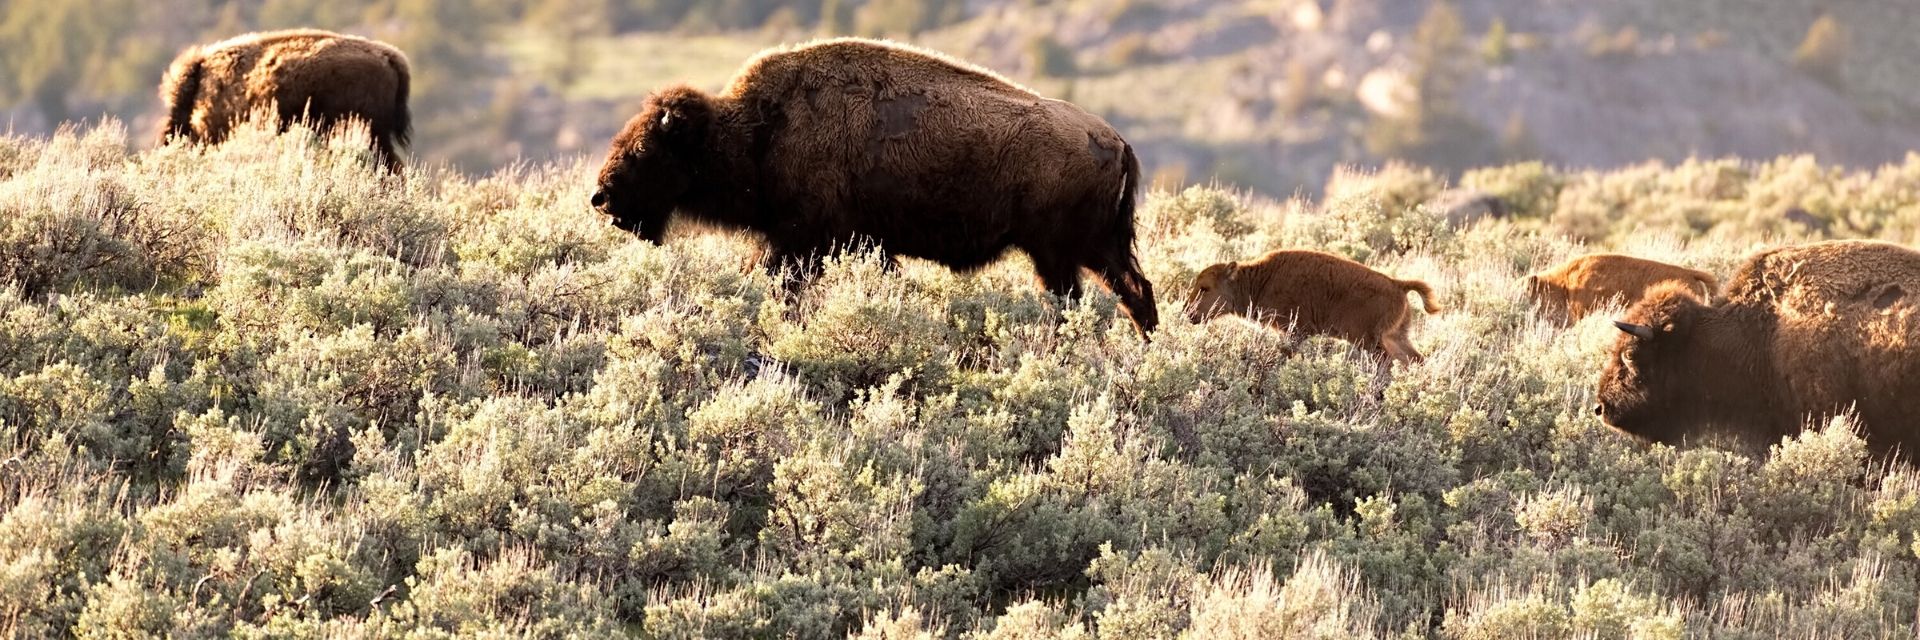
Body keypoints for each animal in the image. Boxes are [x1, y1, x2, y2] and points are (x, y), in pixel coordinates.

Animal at [588, 38, 1158, 335]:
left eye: (644, 150)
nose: (601, 196)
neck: (759, 128)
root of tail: (1116, 139)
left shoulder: (800, 241)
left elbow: (774, 280)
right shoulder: (852, 243)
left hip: (1062, 249)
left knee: (1095, 295)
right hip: (1089, 248)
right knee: (1133, 291)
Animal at [1185, 250, 1440, 363]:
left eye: (1205, 288)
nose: (1188, 311)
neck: (1260, 281)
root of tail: (1398, 285)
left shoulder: (1295, 331)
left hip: (1368, 339)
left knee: (1386, 361)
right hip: (1396, 336)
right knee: (1414, 359)